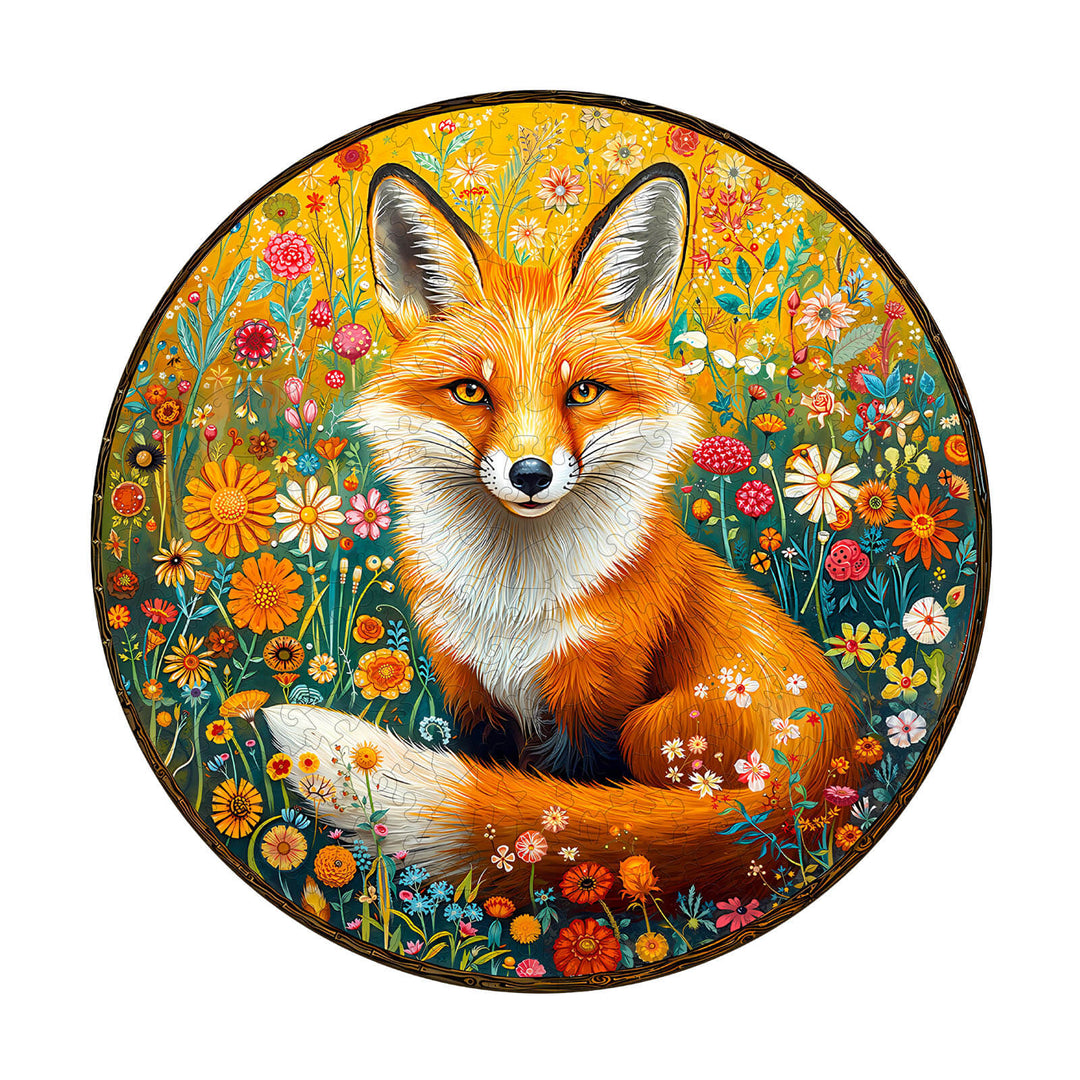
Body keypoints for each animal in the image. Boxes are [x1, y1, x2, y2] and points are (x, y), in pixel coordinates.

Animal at [262, 162, 861, 901]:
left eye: (583, 392)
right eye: (471, 391)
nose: (530, 474)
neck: (511, 604)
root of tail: (813, 787)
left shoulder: (599, 692)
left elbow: (566, 814)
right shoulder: (464, 681)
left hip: (652, 728)